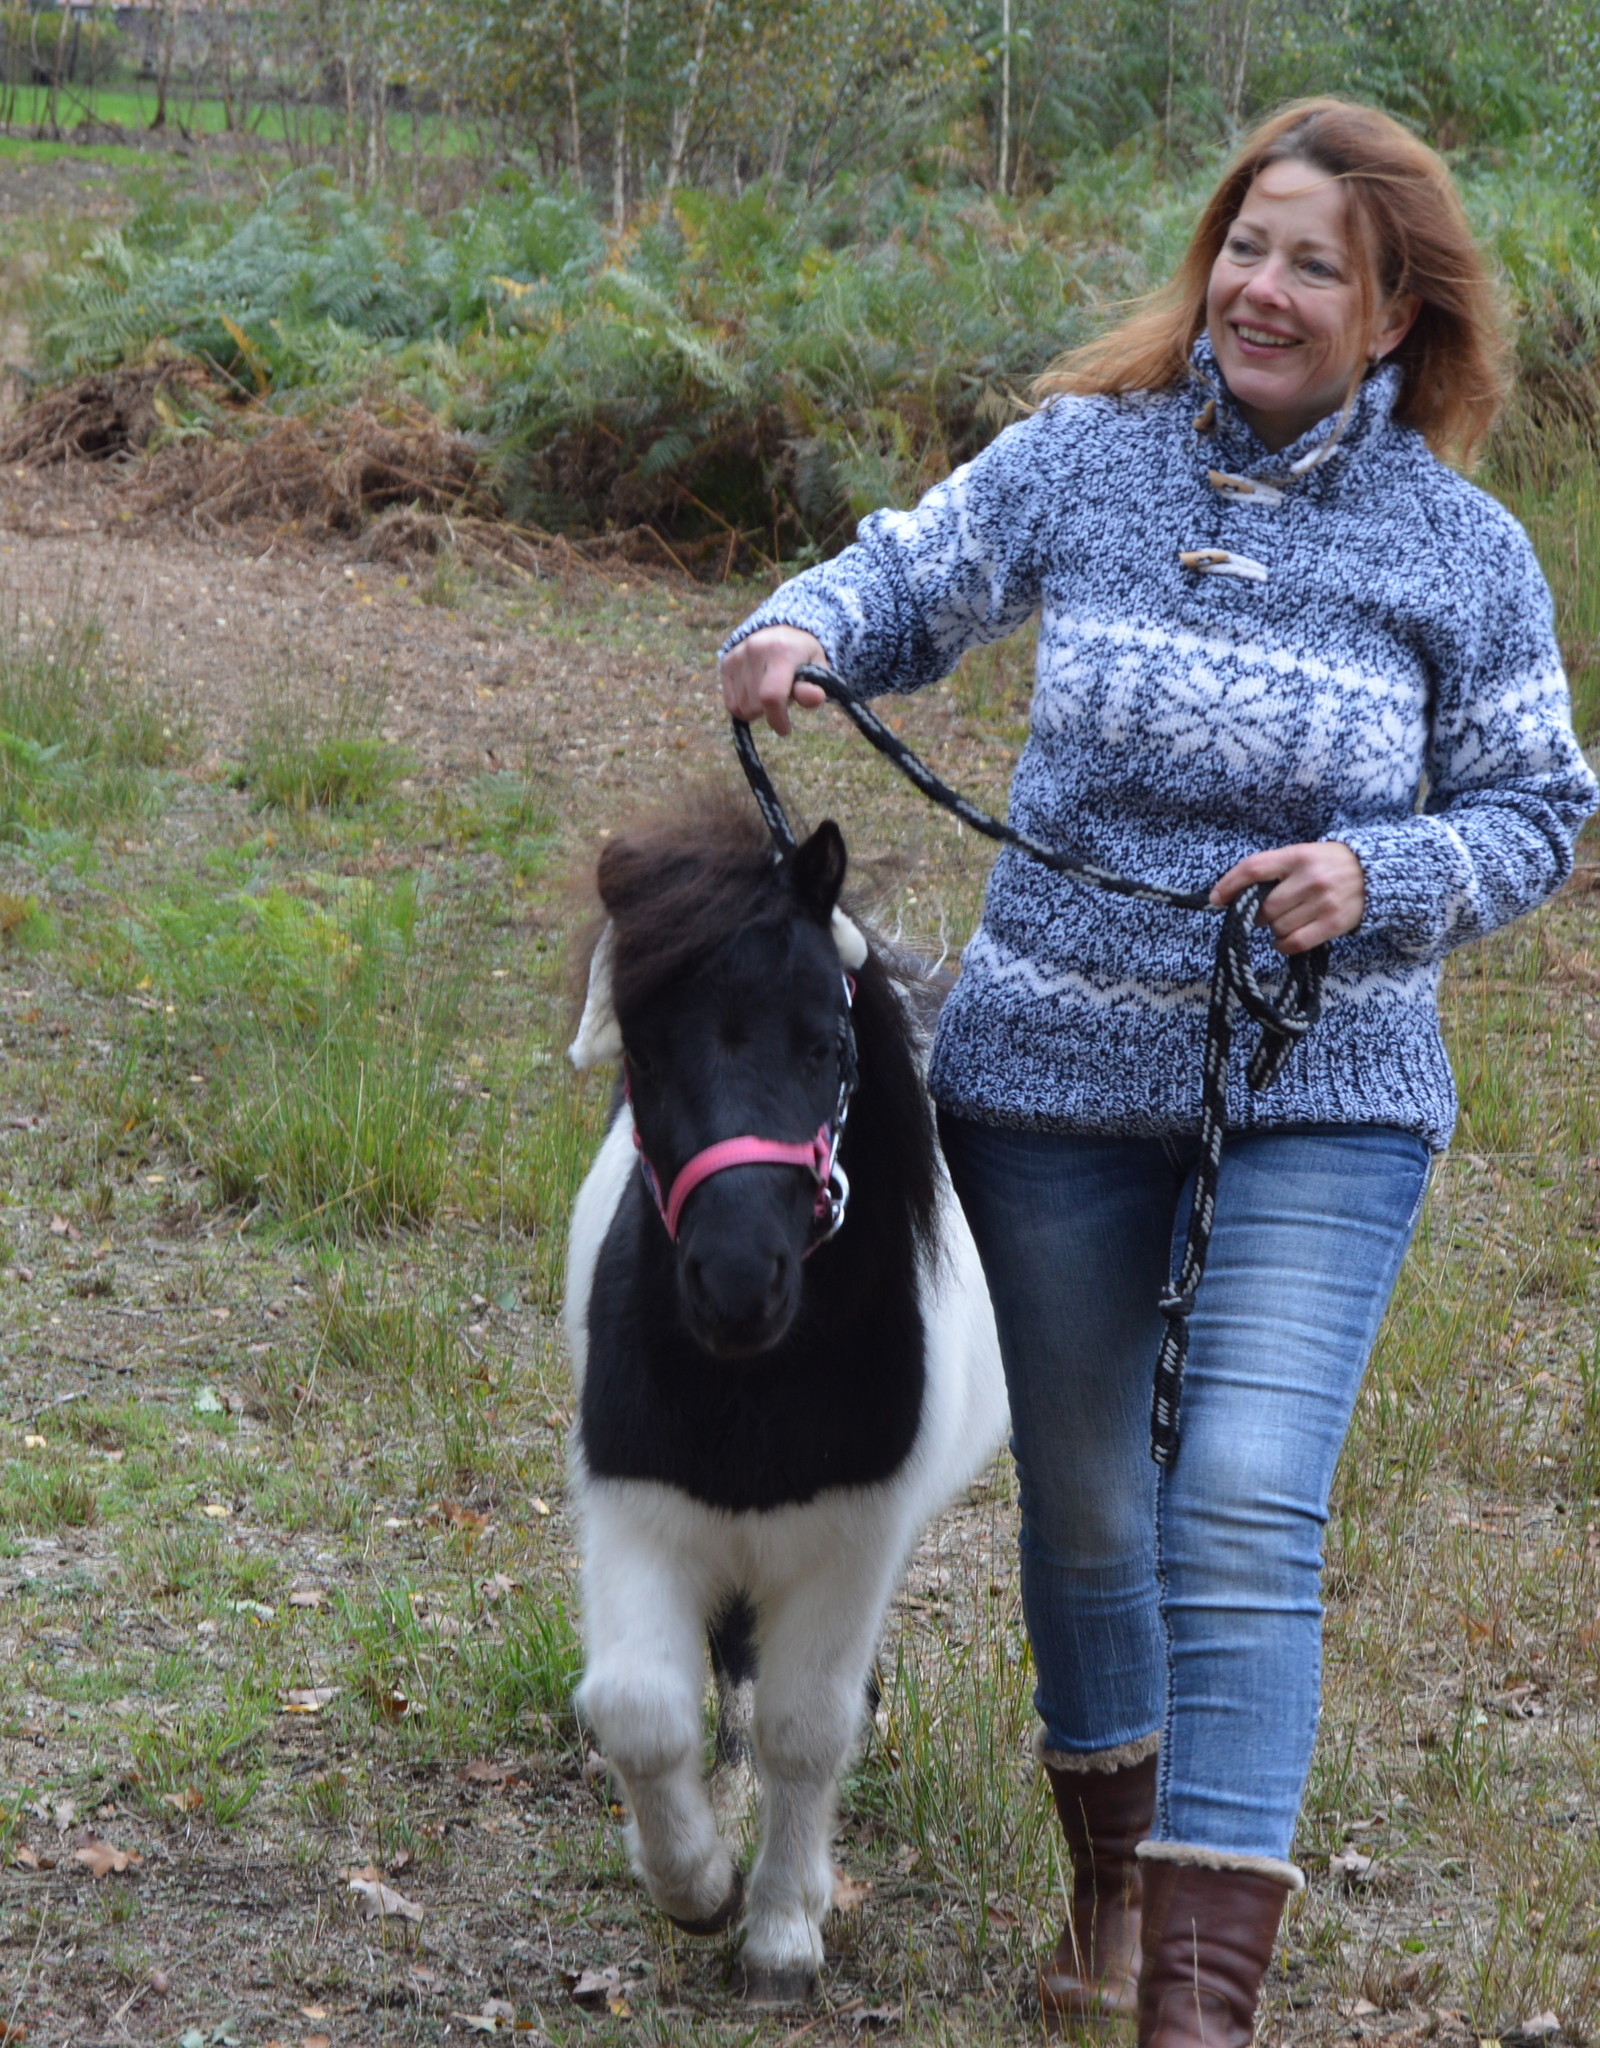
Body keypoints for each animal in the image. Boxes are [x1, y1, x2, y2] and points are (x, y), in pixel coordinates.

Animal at [569, 798, 1003, 1998]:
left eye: (826, 1044)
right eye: (642, 1048)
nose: (734, 1283)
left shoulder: (850, 1540)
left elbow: (807, 1728)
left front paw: (779, 1929)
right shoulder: (636, 1509)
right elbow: (638, 1705)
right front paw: (692, 1882)